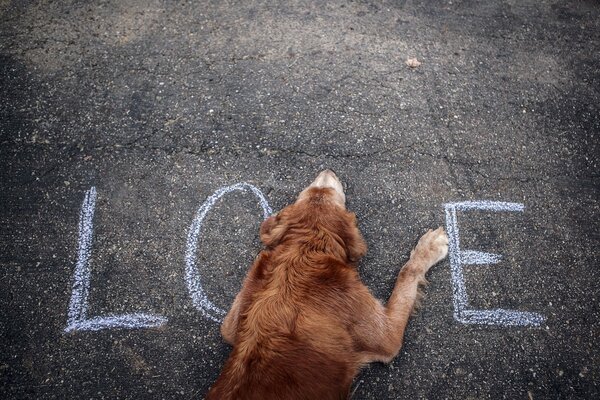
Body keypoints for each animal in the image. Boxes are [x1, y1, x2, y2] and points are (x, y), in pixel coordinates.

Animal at [206, 170, 446, 398]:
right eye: (330, 194)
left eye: (309, 191)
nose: (327, 170)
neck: (304, 251)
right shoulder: (388, 337)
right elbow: (407, 273)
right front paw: (430, 247)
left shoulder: (232, 322)